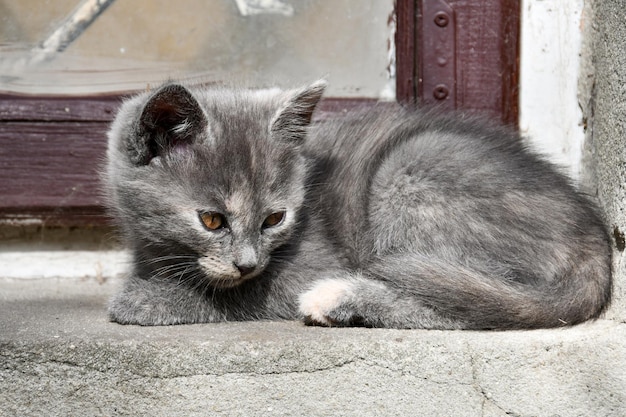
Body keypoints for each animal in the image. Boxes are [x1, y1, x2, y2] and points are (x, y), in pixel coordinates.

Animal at [106, 80, 608, 328]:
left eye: (274, 218)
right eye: (211, 220)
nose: (247, 263)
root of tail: (595, 243)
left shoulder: (311, 260)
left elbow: (248, 293)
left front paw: (152, 299)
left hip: (406, 173)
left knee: (467, 304)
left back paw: (340, 299)